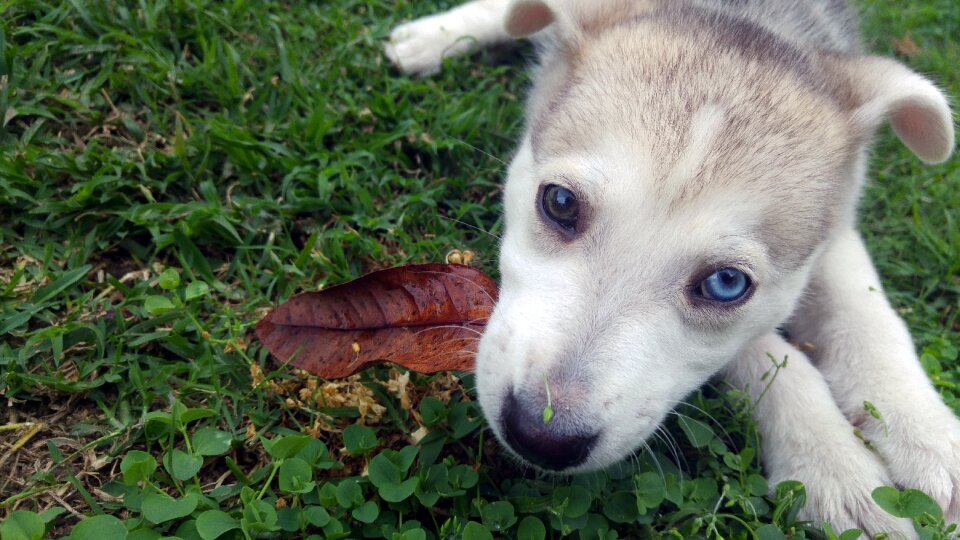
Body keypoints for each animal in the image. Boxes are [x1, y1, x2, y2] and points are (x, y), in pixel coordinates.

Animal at [386, 0, 956, 532]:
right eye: (561, 203)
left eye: (726, 283)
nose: (539, 435)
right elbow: (769, 354)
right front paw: (833, 460)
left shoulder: (836, 223)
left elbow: (866, 313)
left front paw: (926, 433)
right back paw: (430, 38)